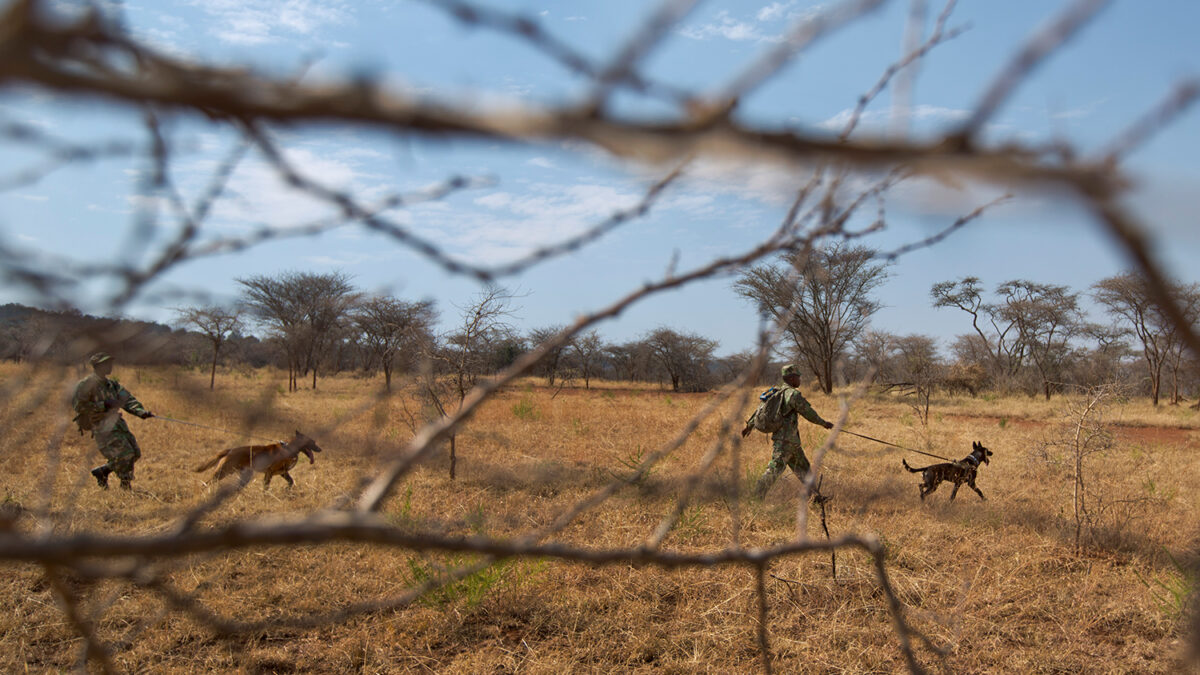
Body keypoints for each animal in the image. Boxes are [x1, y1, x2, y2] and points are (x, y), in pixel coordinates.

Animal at [194, 427, 324, 485]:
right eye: (312, 442)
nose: (320, 449)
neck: (288, 447)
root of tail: (230, 450)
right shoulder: (269, 473)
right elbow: (265, 488)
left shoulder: (283, 472)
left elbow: (291, 482)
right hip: (221, 473)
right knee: (207, 483)